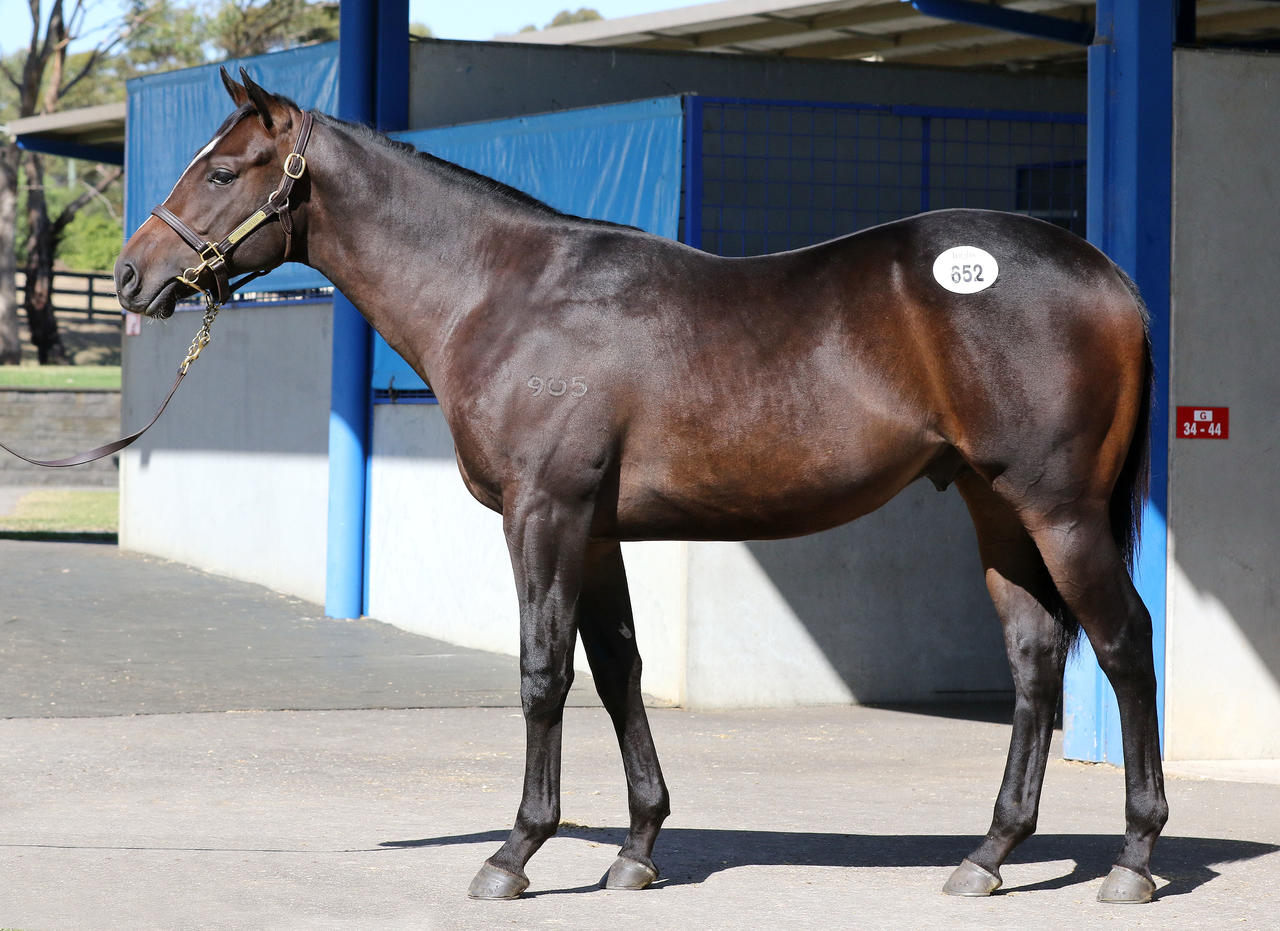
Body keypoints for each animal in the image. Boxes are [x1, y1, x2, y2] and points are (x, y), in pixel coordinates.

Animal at [113, 70, 1167, 904]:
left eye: (221, 172)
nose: (130, 276)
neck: (507, 293)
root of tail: (1108, 276)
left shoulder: (544, 514)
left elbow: (545, 672)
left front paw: (514, 853)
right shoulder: (595, 530)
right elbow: (619, 668)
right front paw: (638, 849)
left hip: (1061, 510)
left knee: (1124, 643)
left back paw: (1133, 857)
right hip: (999, 509)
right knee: (1035, 659)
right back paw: (988, 853)